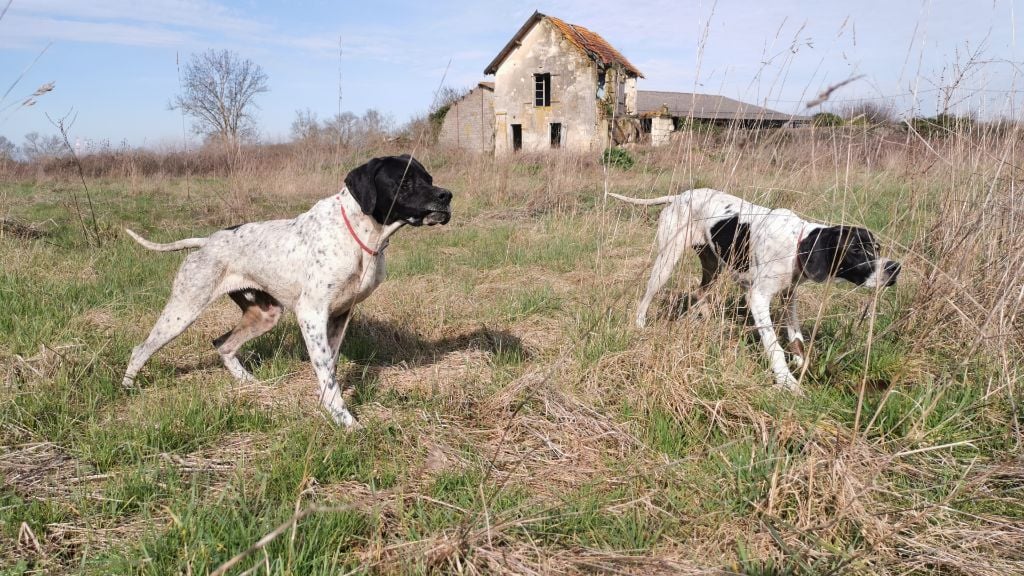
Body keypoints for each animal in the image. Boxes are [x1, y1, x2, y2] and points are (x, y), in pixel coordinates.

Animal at [122, 154, 452, 424]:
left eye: (429, 178)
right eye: (405, 181)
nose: (447, 196)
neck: (359, 234)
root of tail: (206, 242)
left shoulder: (340, 315)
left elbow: (329, 368)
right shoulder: (312, 315)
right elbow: (327, 375)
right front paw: (345, 421)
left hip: (265, 314)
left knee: (222, 344)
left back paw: (247, 382)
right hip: (183, 311)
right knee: (141, 349)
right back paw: (127, 388)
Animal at [610, 187, 901, 389]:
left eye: (877, 248)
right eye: (856, 250)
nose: (895, 268)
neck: (796, 244)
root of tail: (680, 195)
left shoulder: (789, 297)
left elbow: (796, 338)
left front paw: (800, 363)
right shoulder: (758, 298)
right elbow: (774, 345)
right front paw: (786, 381)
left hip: (712, 265)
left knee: (700, 291)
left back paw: (707, 319)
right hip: (666, 261)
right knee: (647, 295)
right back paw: (640, 324)